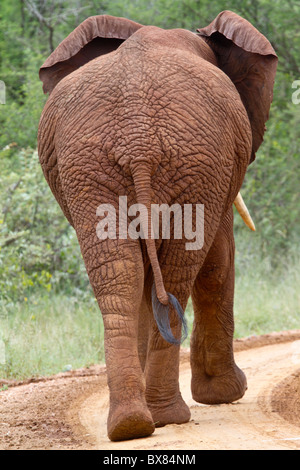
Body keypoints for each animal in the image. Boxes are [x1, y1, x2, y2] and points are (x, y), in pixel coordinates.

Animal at [37, 11, 276, 444]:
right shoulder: (218, 176)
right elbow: (219, 260)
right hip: (190, 163)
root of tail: (138, 142)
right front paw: (225, 394)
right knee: (178, 272)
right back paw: (165, 417)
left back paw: (132, 422)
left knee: (121, 274)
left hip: (94, 170)